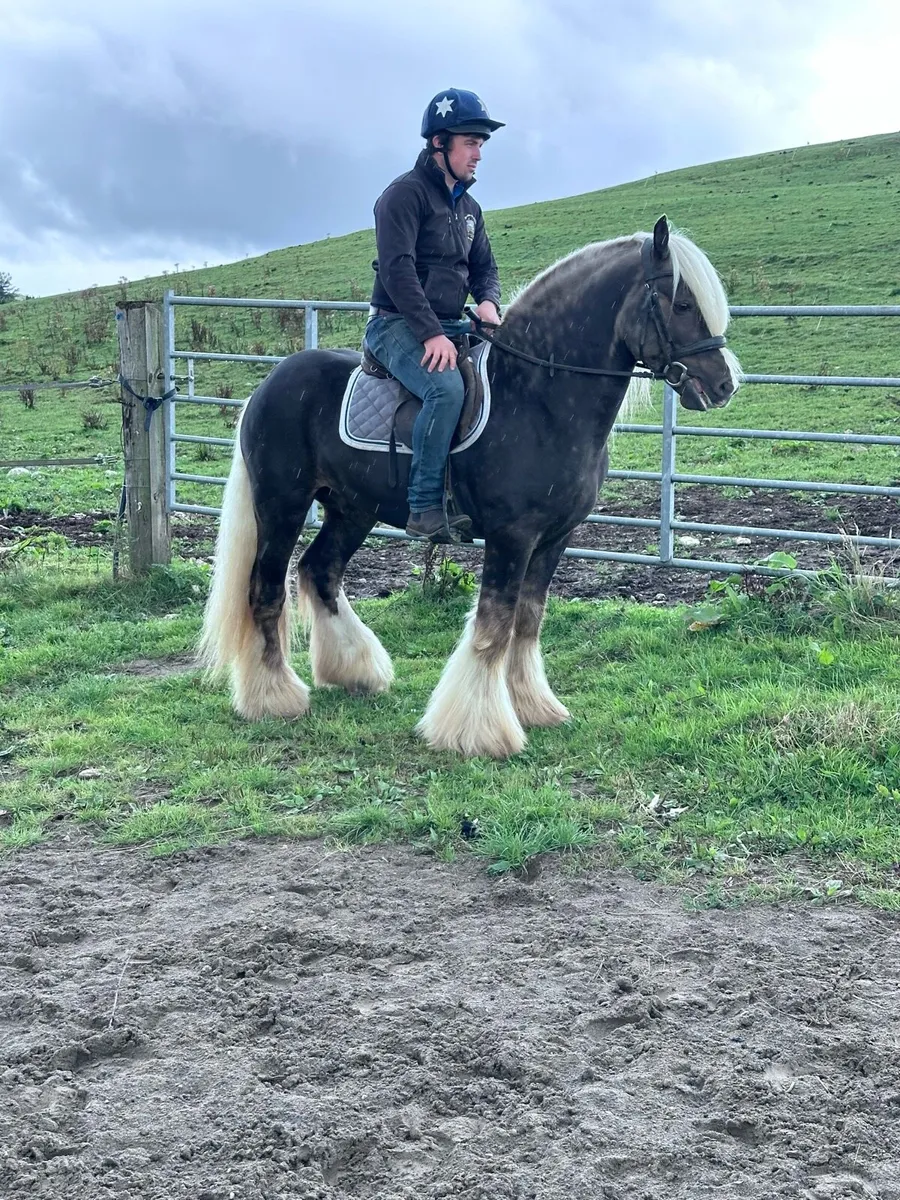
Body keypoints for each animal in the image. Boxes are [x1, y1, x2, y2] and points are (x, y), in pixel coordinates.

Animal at [198, 216, 741, 759]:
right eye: (682, 304)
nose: (724, 385)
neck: (536, 397)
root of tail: (268, 385)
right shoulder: (511, 536)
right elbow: (494, 625)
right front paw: (478, 731)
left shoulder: (554, 539)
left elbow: (527, 621)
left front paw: (534, 707)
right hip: (282, 506)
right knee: (267, 588)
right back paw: (273, 696)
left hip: (353, 510)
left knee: (319, 571)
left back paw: (355, 671)